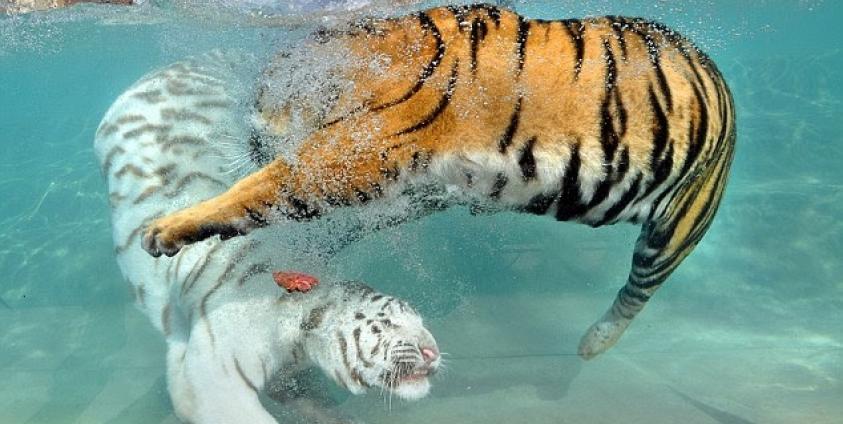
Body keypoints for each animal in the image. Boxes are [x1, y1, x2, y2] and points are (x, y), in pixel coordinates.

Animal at [94, 52, 441, 424]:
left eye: (419, 319)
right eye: (390, 323)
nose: (433, 352)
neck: (299, 334)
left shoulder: (293, 377)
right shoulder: (213, 376)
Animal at [138, 4, 736, 360]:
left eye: (258, 101)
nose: (249, 141)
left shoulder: (358, 153)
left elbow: (259, 191)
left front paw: (166, 230)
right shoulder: (417, 186)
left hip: (679, 224)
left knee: (638, 290)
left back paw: (593, 343)